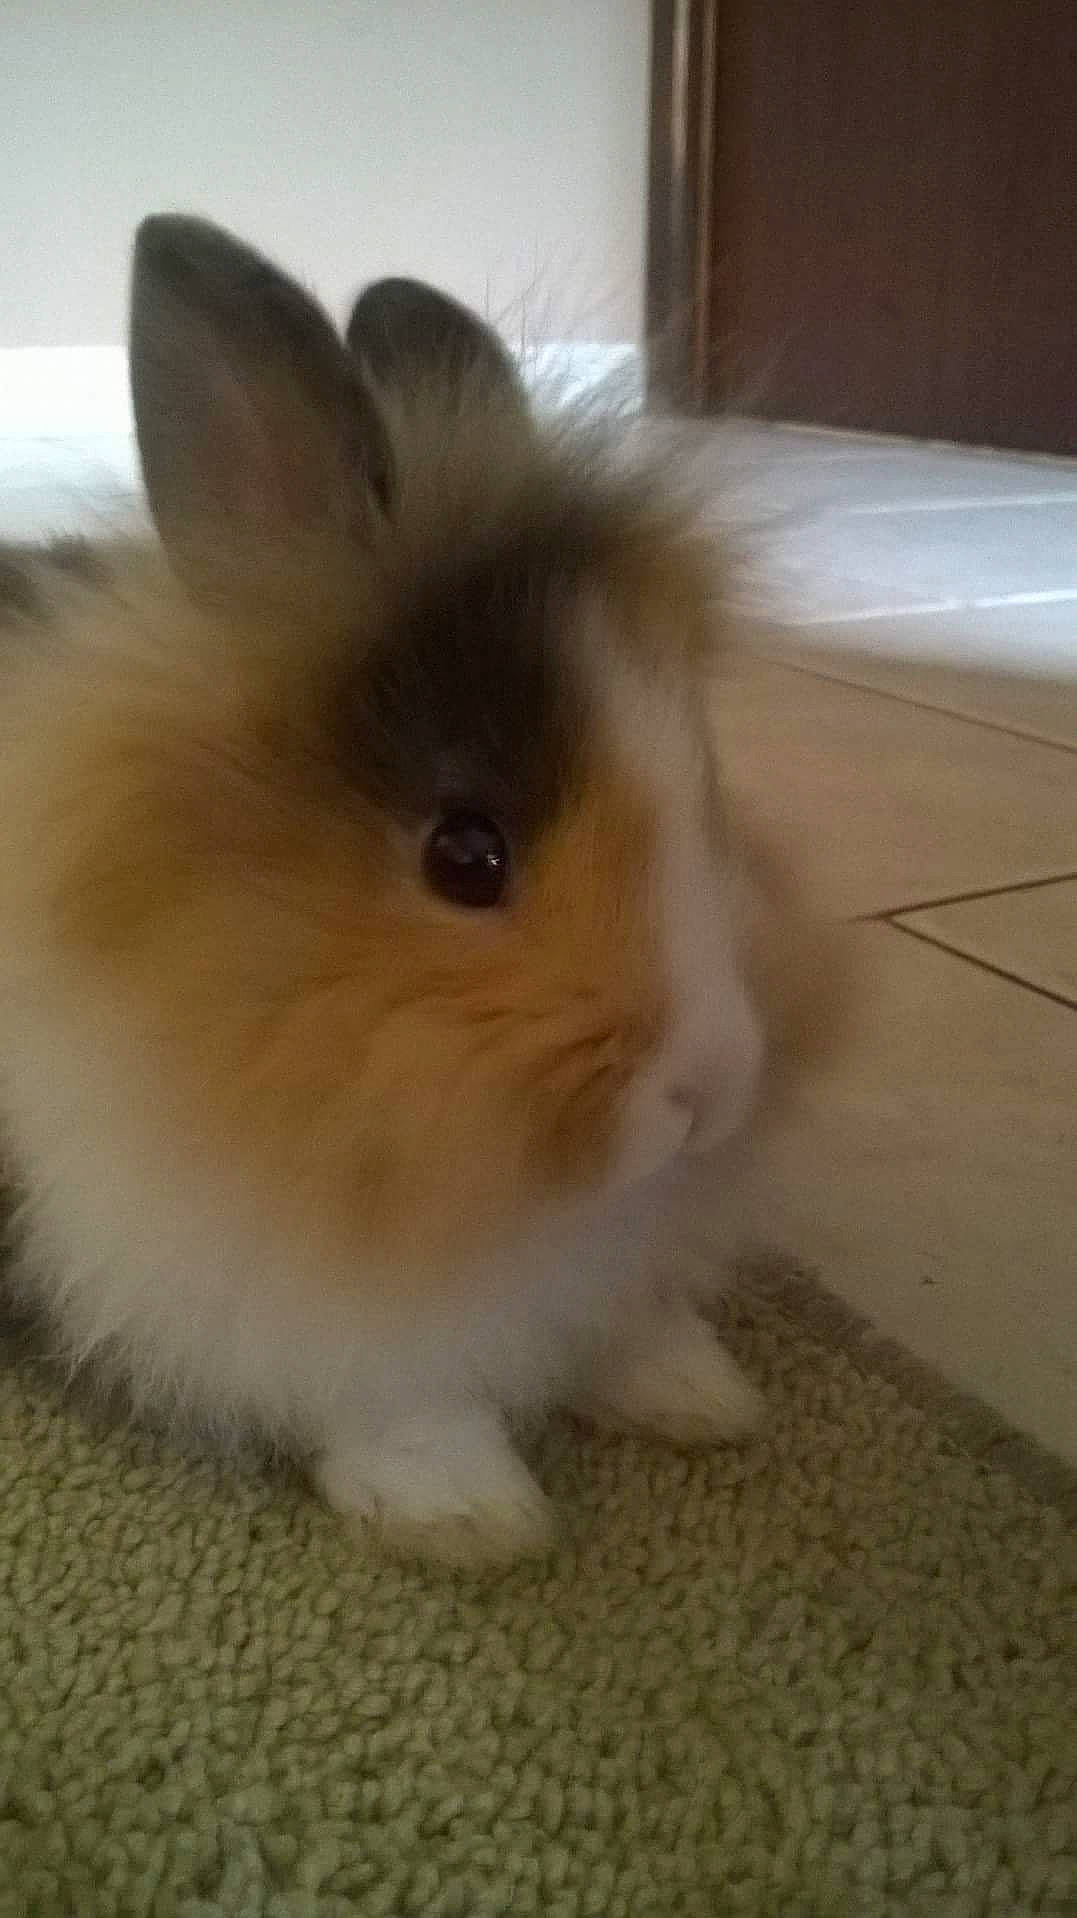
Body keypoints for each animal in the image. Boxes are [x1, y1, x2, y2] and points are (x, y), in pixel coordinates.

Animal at [0, 216, 842, 1566]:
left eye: (710, 792)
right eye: (467, 856)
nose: (712, 1088)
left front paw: (696, 1394)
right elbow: (394, 1393)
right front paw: (470, 1514)